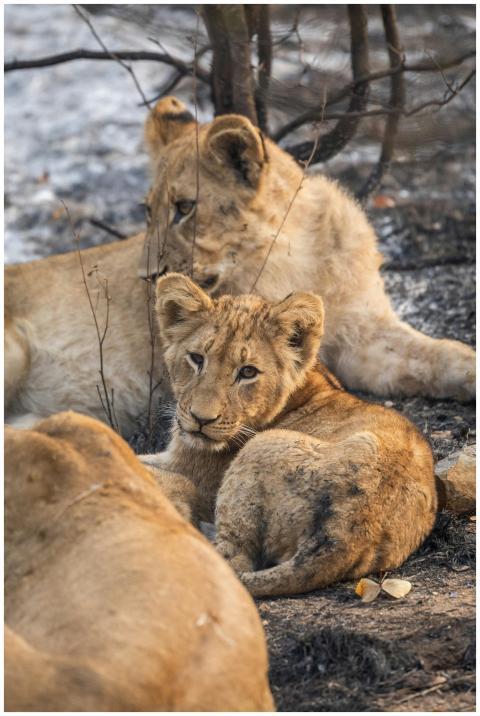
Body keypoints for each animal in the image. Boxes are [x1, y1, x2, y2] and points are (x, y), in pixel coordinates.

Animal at [5, 96, 474, 434]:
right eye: (148, 211)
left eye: (185, 208)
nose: (147, 277)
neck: (300, 260)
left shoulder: (364, 334)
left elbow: (435, 353)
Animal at [141, 273, 437, 598]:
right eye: (196, 358)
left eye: (247, 372)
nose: (201, 420)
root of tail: (345, 533)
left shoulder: (192, 470)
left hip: (260, 449)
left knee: (233, 560)